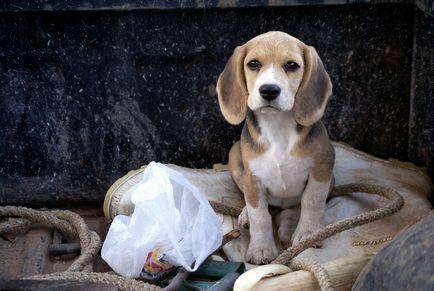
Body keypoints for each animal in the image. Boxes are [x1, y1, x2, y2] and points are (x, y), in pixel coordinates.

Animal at [217, 31, 336, 264]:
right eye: (253, 63)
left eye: (292, 65)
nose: (269, 90)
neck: (277, 125)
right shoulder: (253, 178)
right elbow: (260, 216)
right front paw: (261, 249)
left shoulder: (322, 168)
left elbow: (311, 201)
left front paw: (308, 234)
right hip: (234, 155)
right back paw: (245, 214)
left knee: (292, 208)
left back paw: (289, 227)